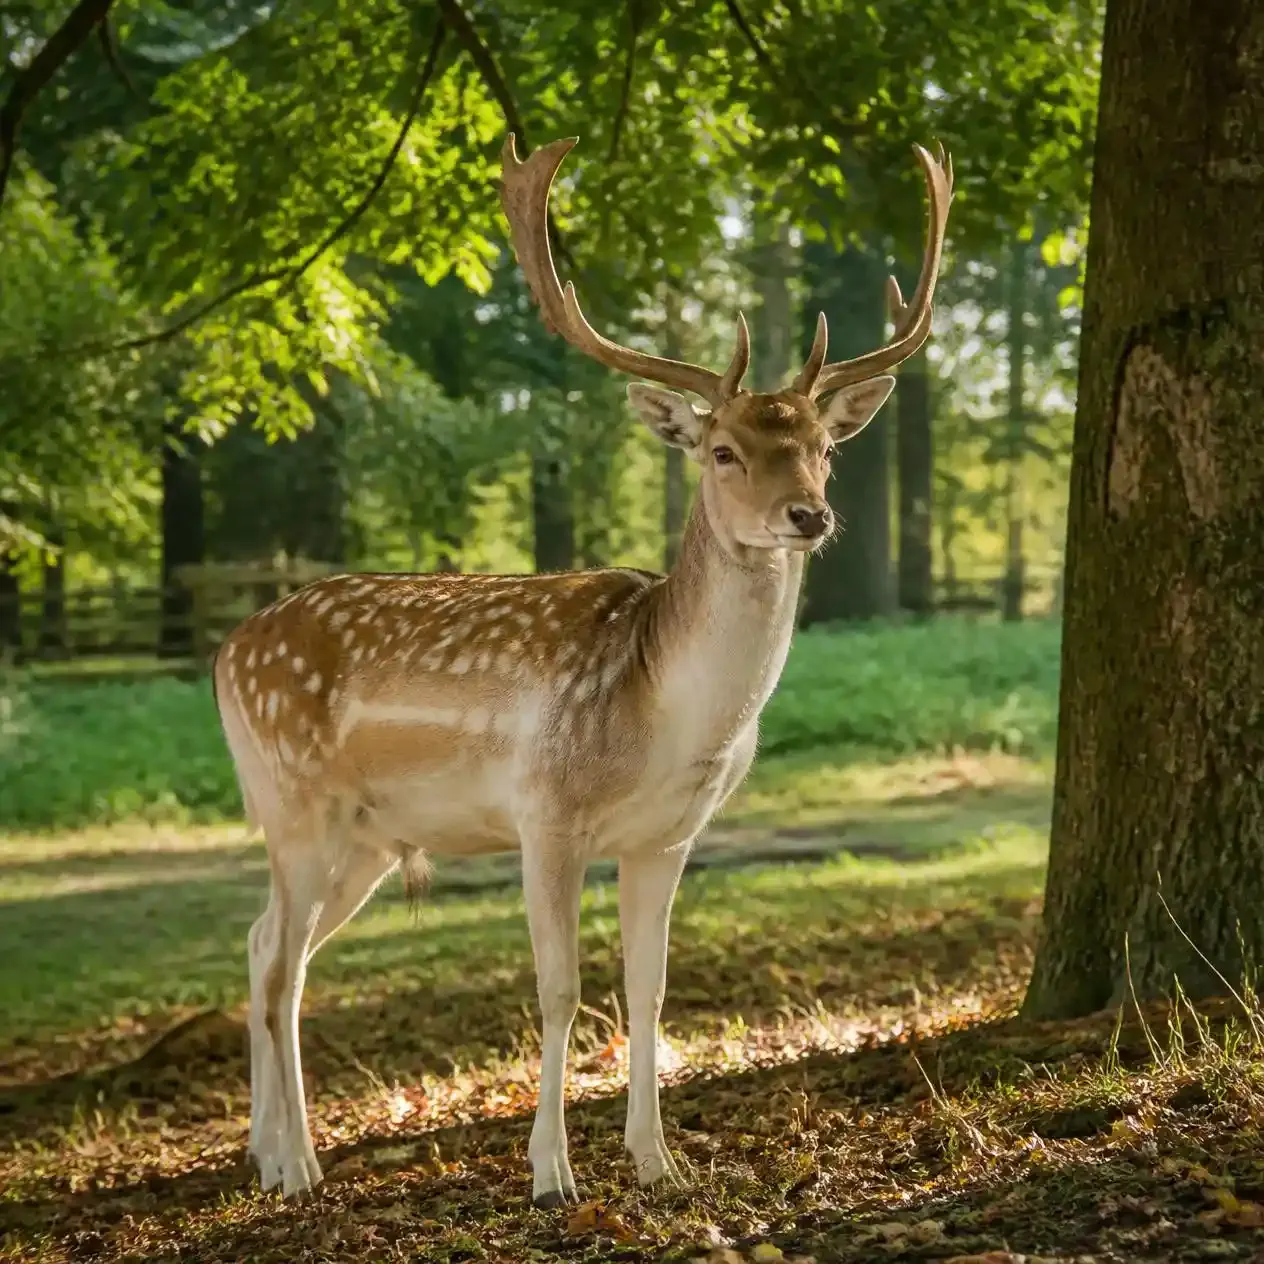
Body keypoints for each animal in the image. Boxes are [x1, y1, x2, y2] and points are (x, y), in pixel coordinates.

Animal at [212, 131, 953, 1207]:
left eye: (822, 448)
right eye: (722, 450)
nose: (807, 515)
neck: (666, 714)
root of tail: (226, 651)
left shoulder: (668, 836)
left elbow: (648, 990)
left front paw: (659, 1161)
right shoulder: (547, 813)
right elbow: (559, 991)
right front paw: (553, 1173)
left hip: (363, 839)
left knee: (268, 942)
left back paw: (268, 1157)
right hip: (297, 804)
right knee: (281, 971)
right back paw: (302, 1164)